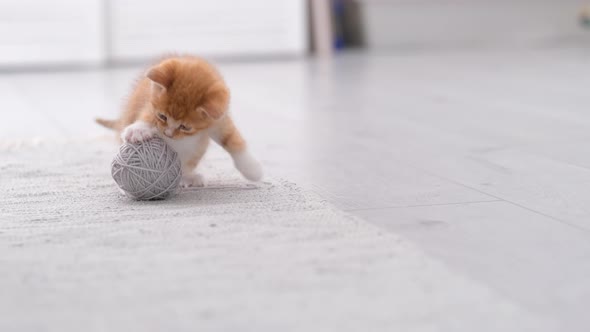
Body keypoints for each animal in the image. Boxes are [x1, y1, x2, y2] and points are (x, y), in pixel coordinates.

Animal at [96, 55, 262, 188]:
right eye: (162, 116)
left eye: (185, 127)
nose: (168, 134)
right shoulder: (150, 101)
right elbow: (147, 115)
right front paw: (138, 130)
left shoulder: (219, 119)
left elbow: (232, 138)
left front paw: (252, 170)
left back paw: (188, 177)